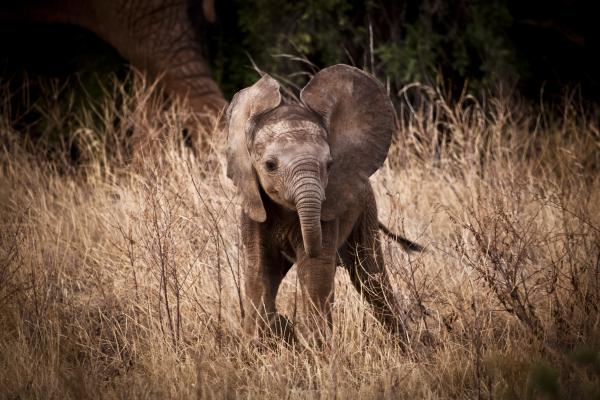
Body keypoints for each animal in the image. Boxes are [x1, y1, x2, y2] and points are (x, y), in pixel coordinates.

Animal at [227, 64, 414, 346]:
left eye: (329, 165)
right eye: (270, 166)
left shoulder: (328, 211)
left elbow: (314, 271)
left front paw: (315, 347)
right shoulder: (252, 207)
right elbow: (259, 268)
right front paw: (262, 342)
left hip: (366, 209)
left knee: (370, 276)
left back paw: (409, 348)